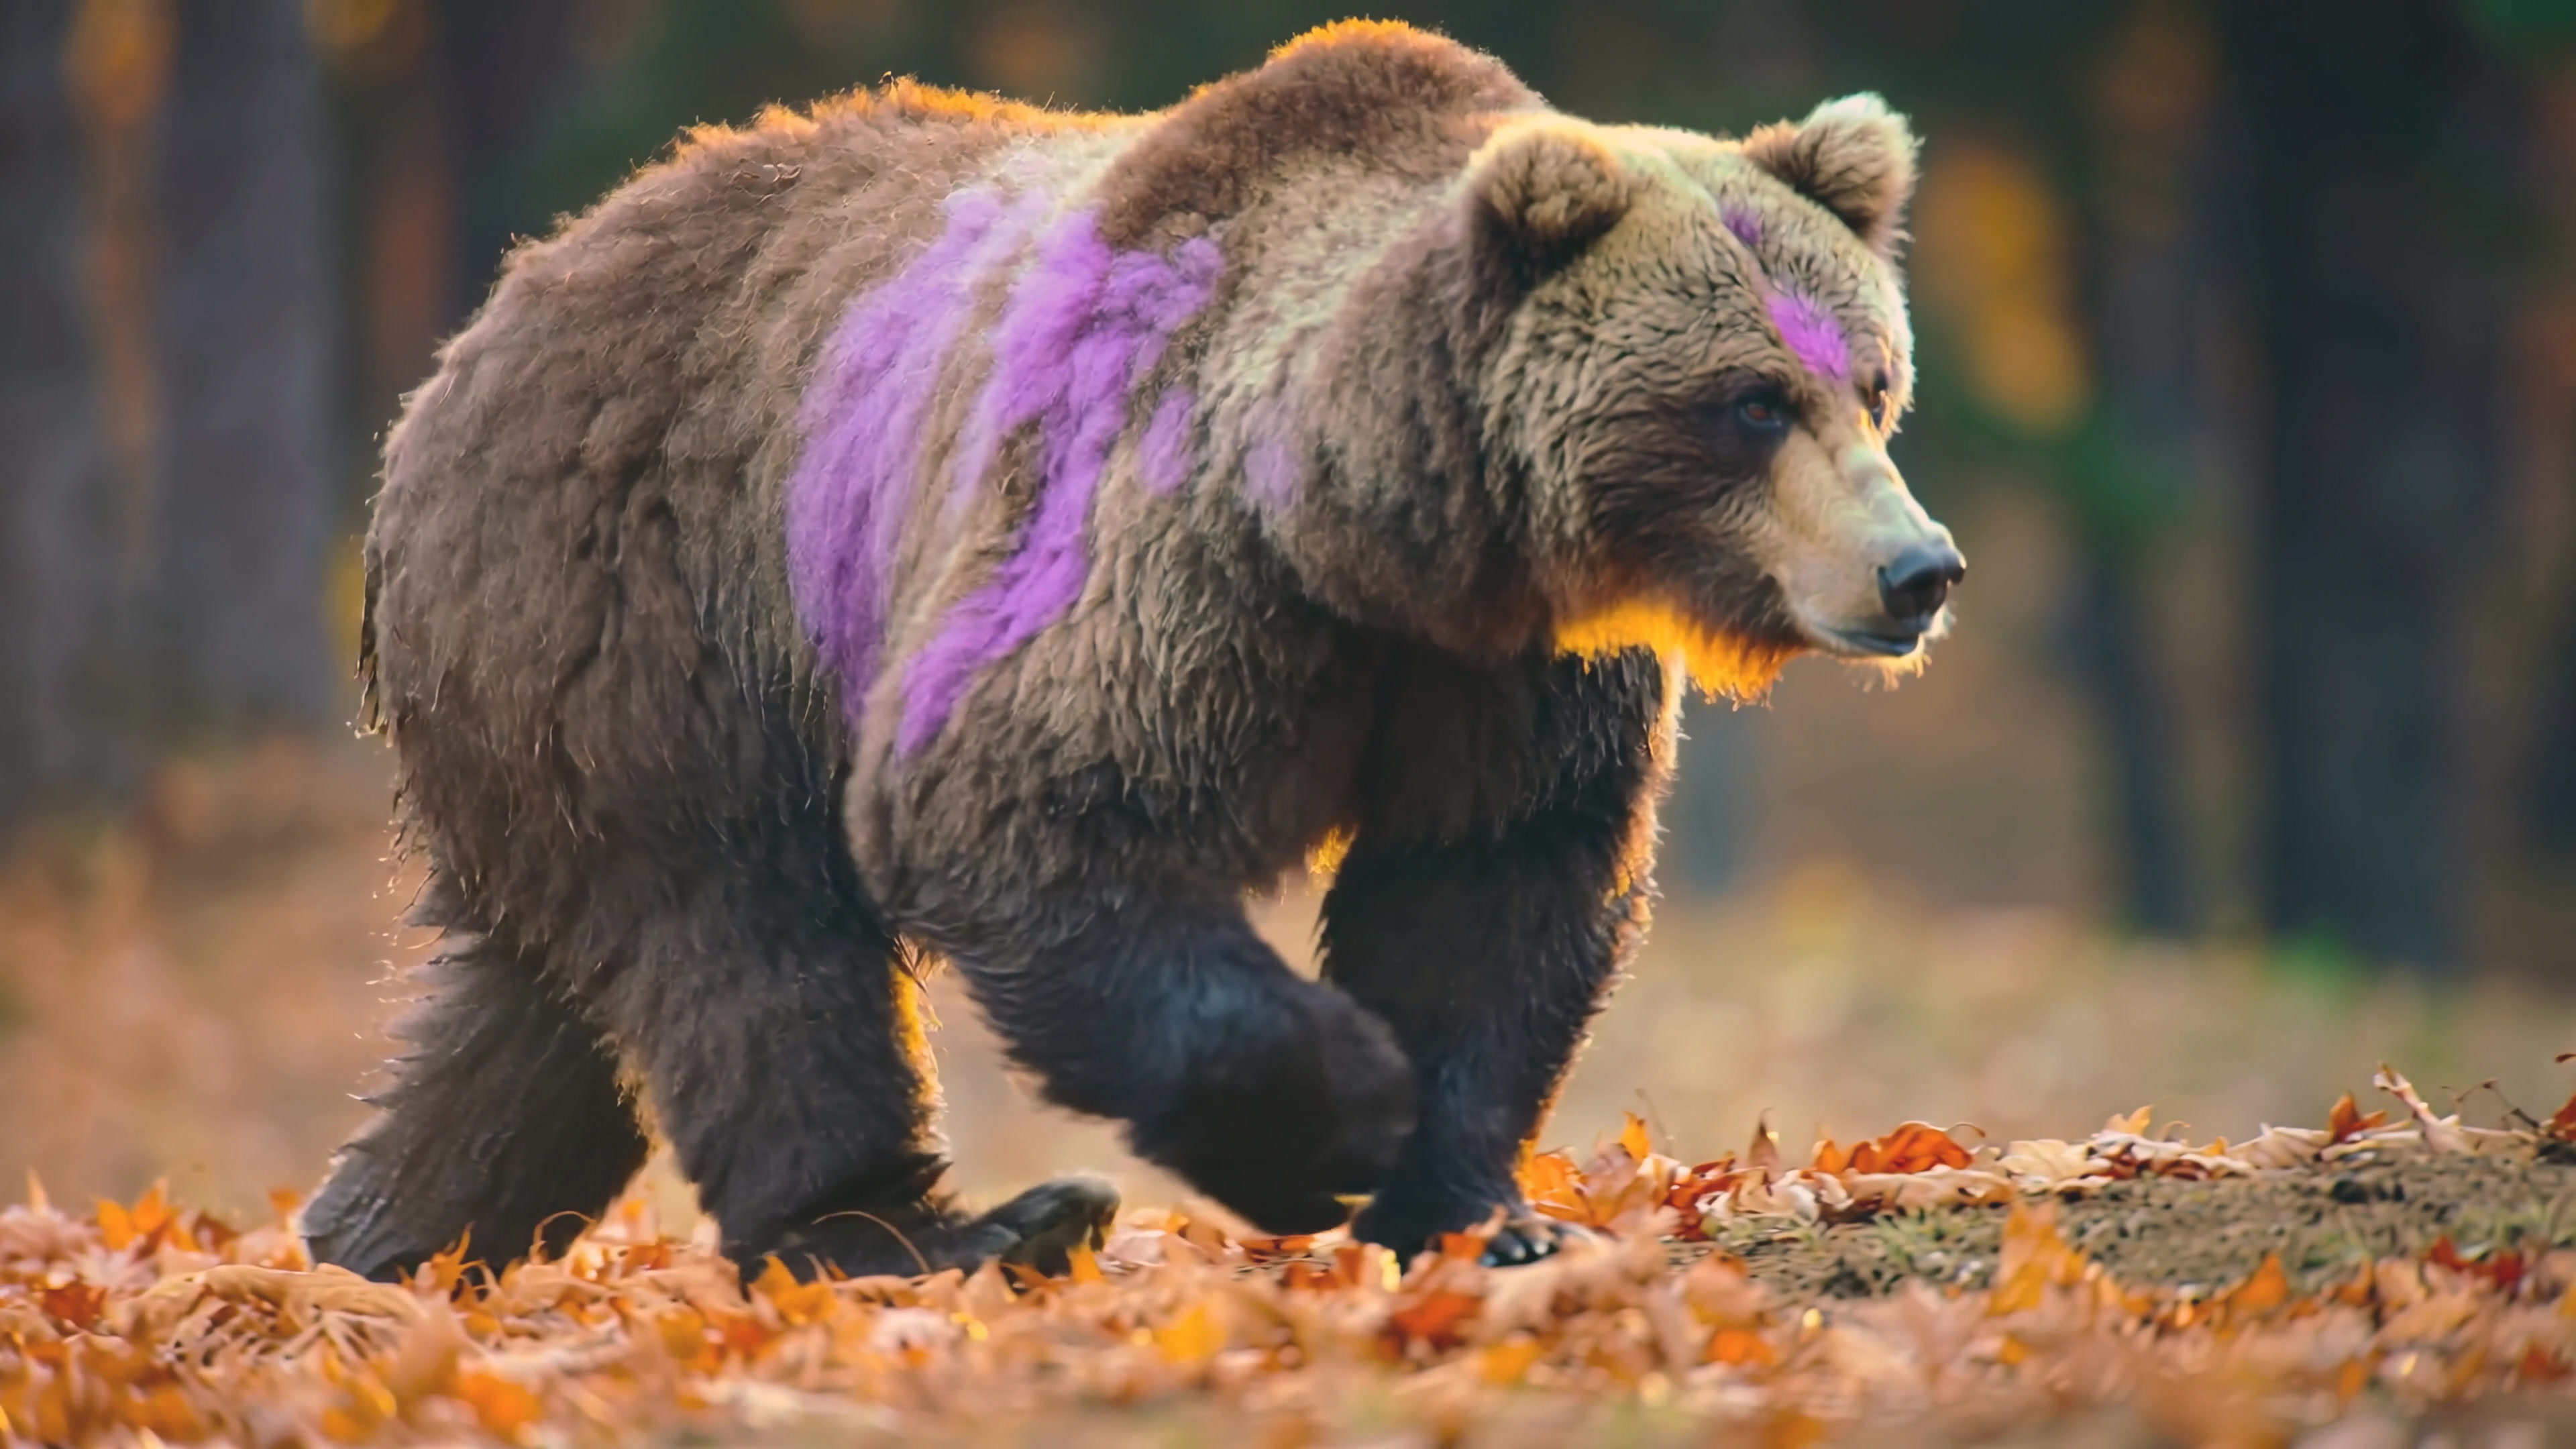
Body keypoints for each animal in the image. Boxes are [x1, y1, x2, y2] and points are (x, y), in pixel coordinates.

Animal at [303, 20, 1962, 1283]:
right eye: (1749, 401)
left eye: (1873, 382)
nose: (1918, 572)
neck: (1375, 530)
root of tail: (480, 328)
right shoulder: (1157, 548)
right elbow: (1030, 805)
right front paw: (1337, 1124)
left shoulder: (1497, 674)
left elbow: (1491, 887)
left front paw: (1476, 1209)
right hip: (663, 604)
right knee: (747, 947)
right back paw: (941, 1231)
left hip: (558, 697)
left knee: (541, 1008)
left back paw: (369, 1242)